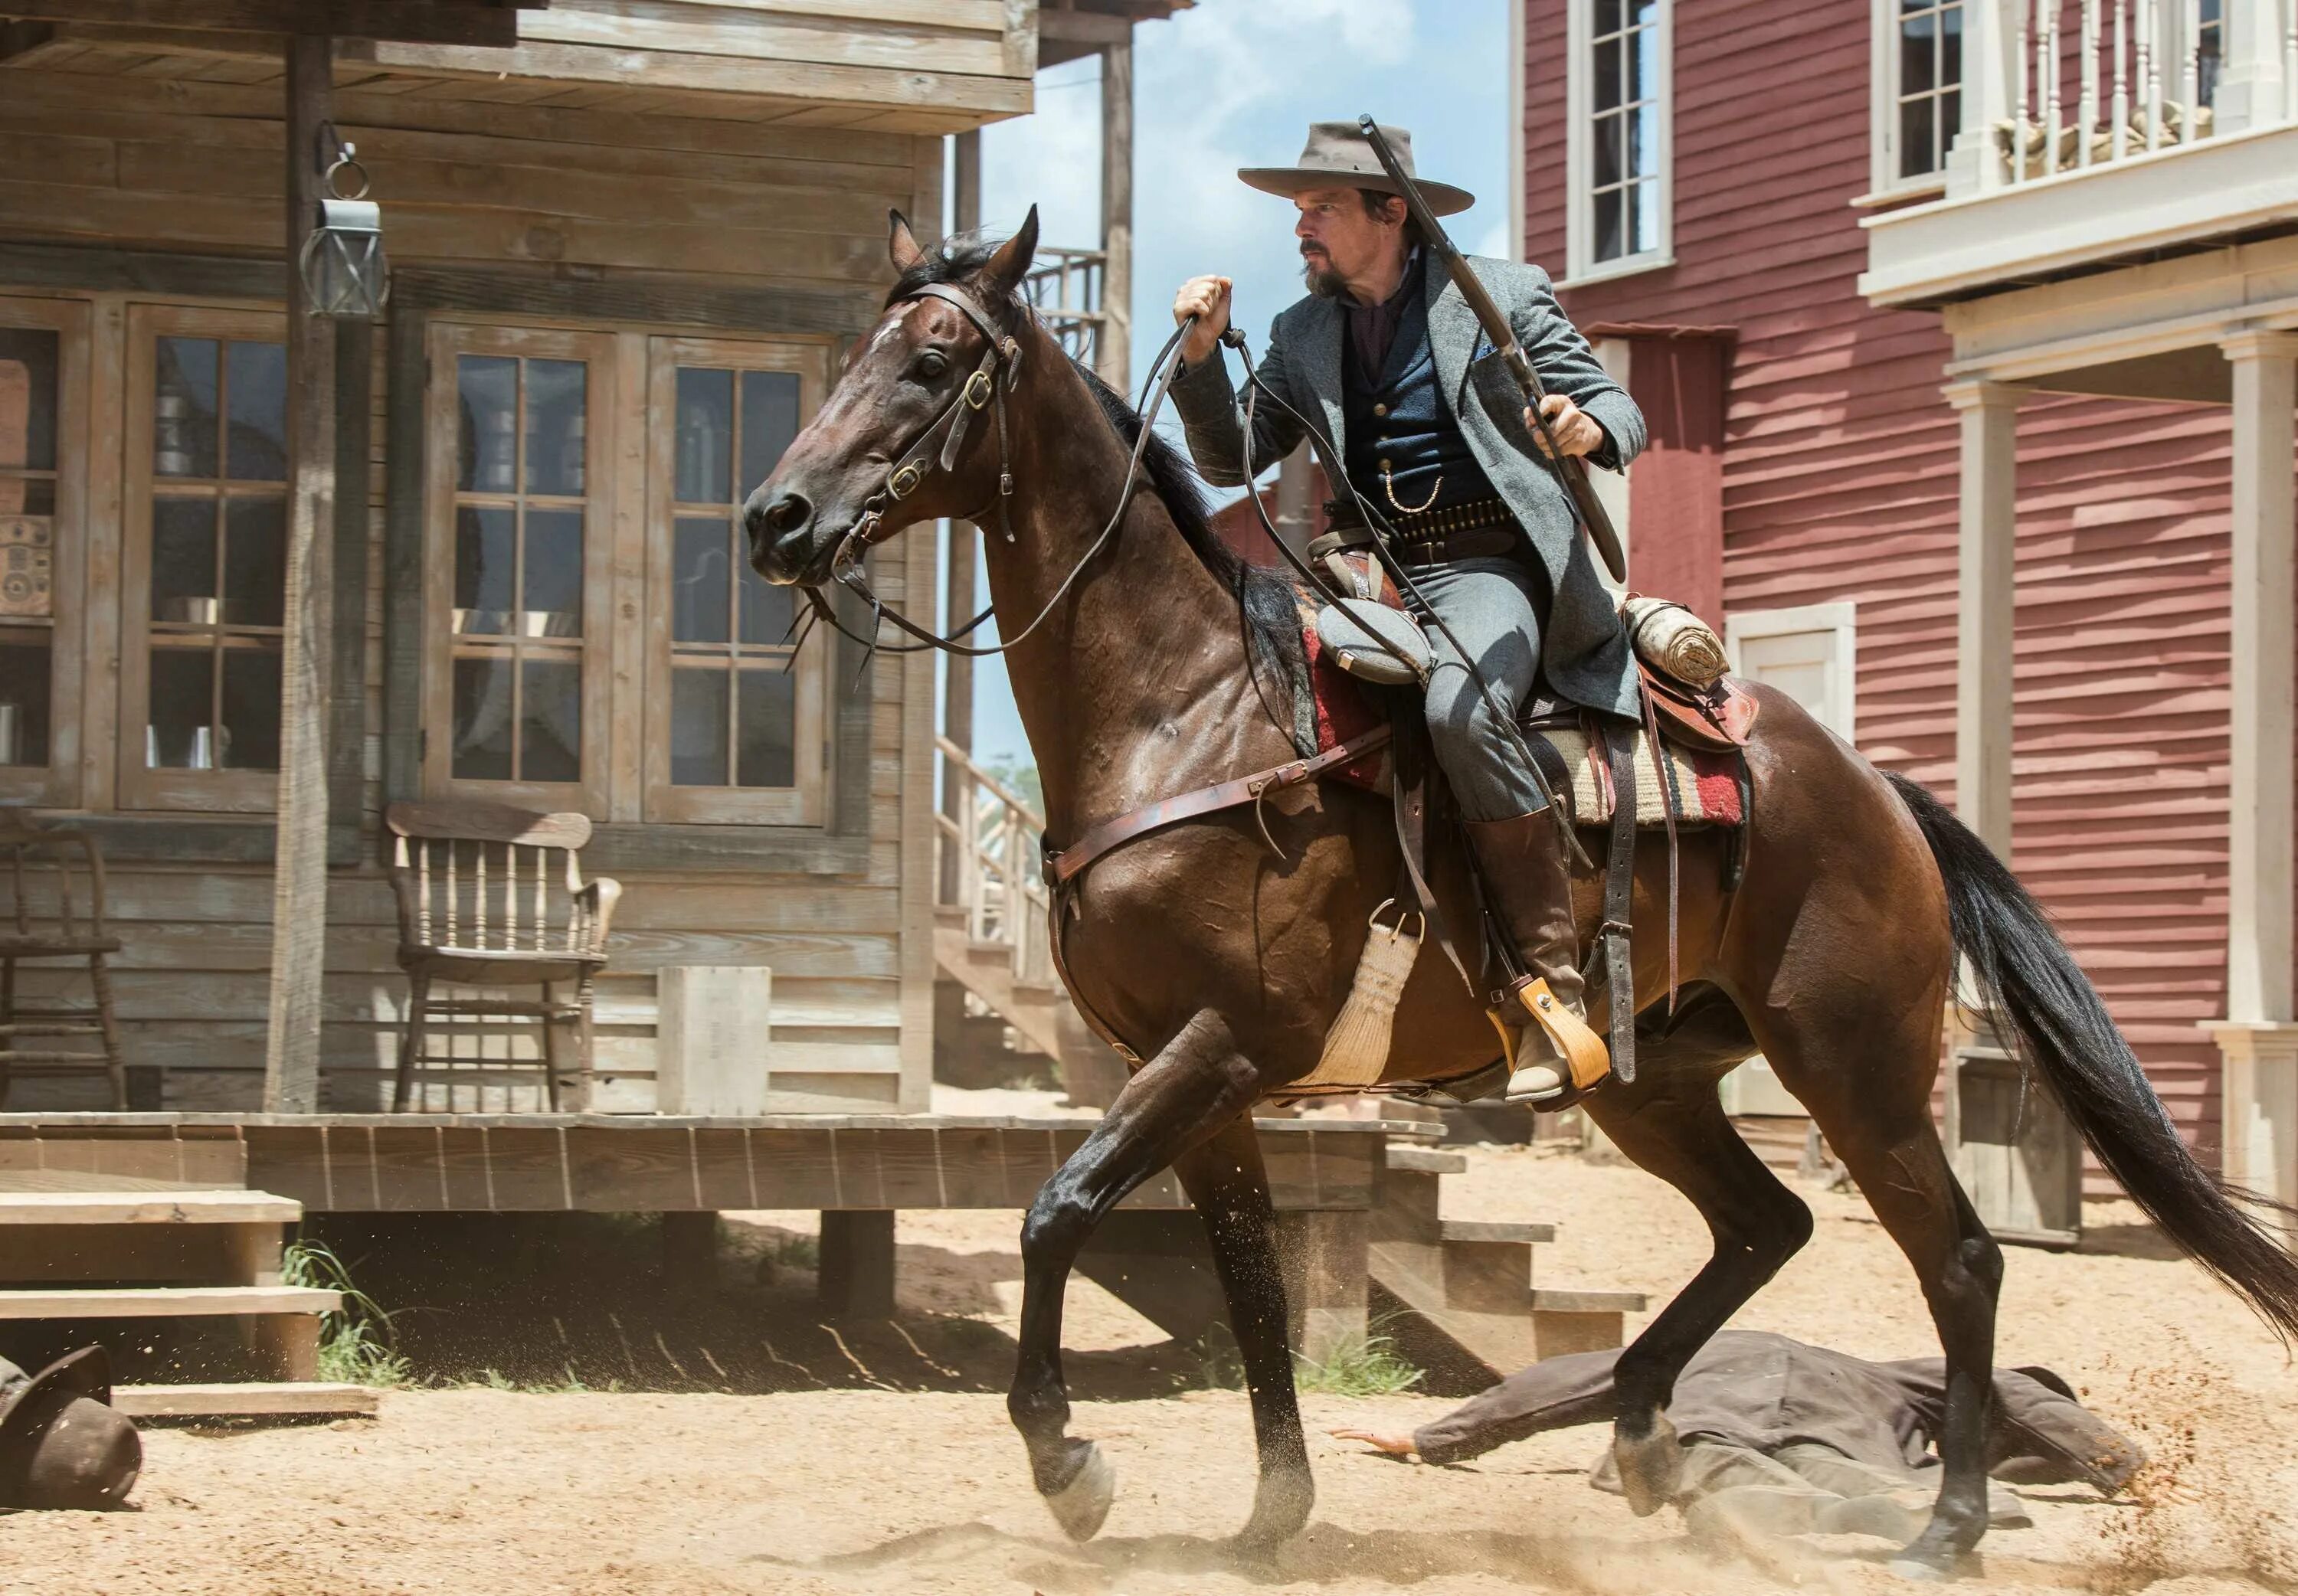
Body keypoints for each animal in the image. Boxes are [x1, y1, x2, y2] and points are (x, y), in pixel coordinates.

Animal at [754, 215, 2298, 1589]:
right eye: (858, 352)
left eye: (932, 357)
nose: (777, 517)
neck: (1189, 712)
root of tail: (1877, 791)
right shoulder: (1192, 1076)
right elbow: (1250, 1284)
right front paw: (1270, 1518)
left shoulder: (1225, 1044)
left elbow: (1056, 1210)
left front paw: (1069, 1467)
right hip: (1657, 1080)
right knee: (1766, 1226)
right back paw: (1648, 1439)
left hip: (1851, 1063)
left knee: (1961, 1258)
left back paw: (1944, 1528)